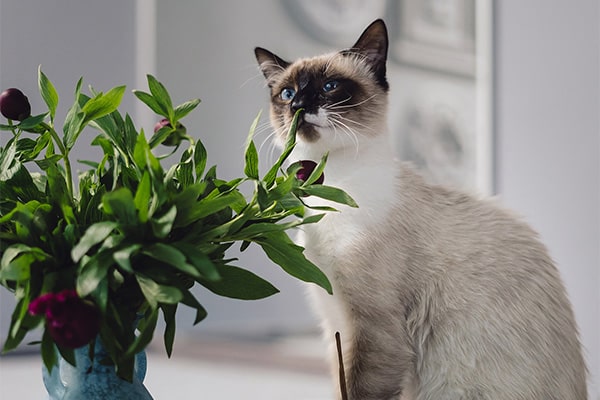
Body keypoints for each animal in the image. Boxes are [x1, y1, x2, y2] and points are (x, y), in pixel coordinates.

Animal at [253, 18, 584, 400]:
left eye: (330, 86)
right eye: (287, 93)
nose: (298, 106)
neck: (330, 187)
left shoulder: (375, 331)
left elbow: (359, 389)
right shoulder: (335, 325)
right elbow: (340, 386)